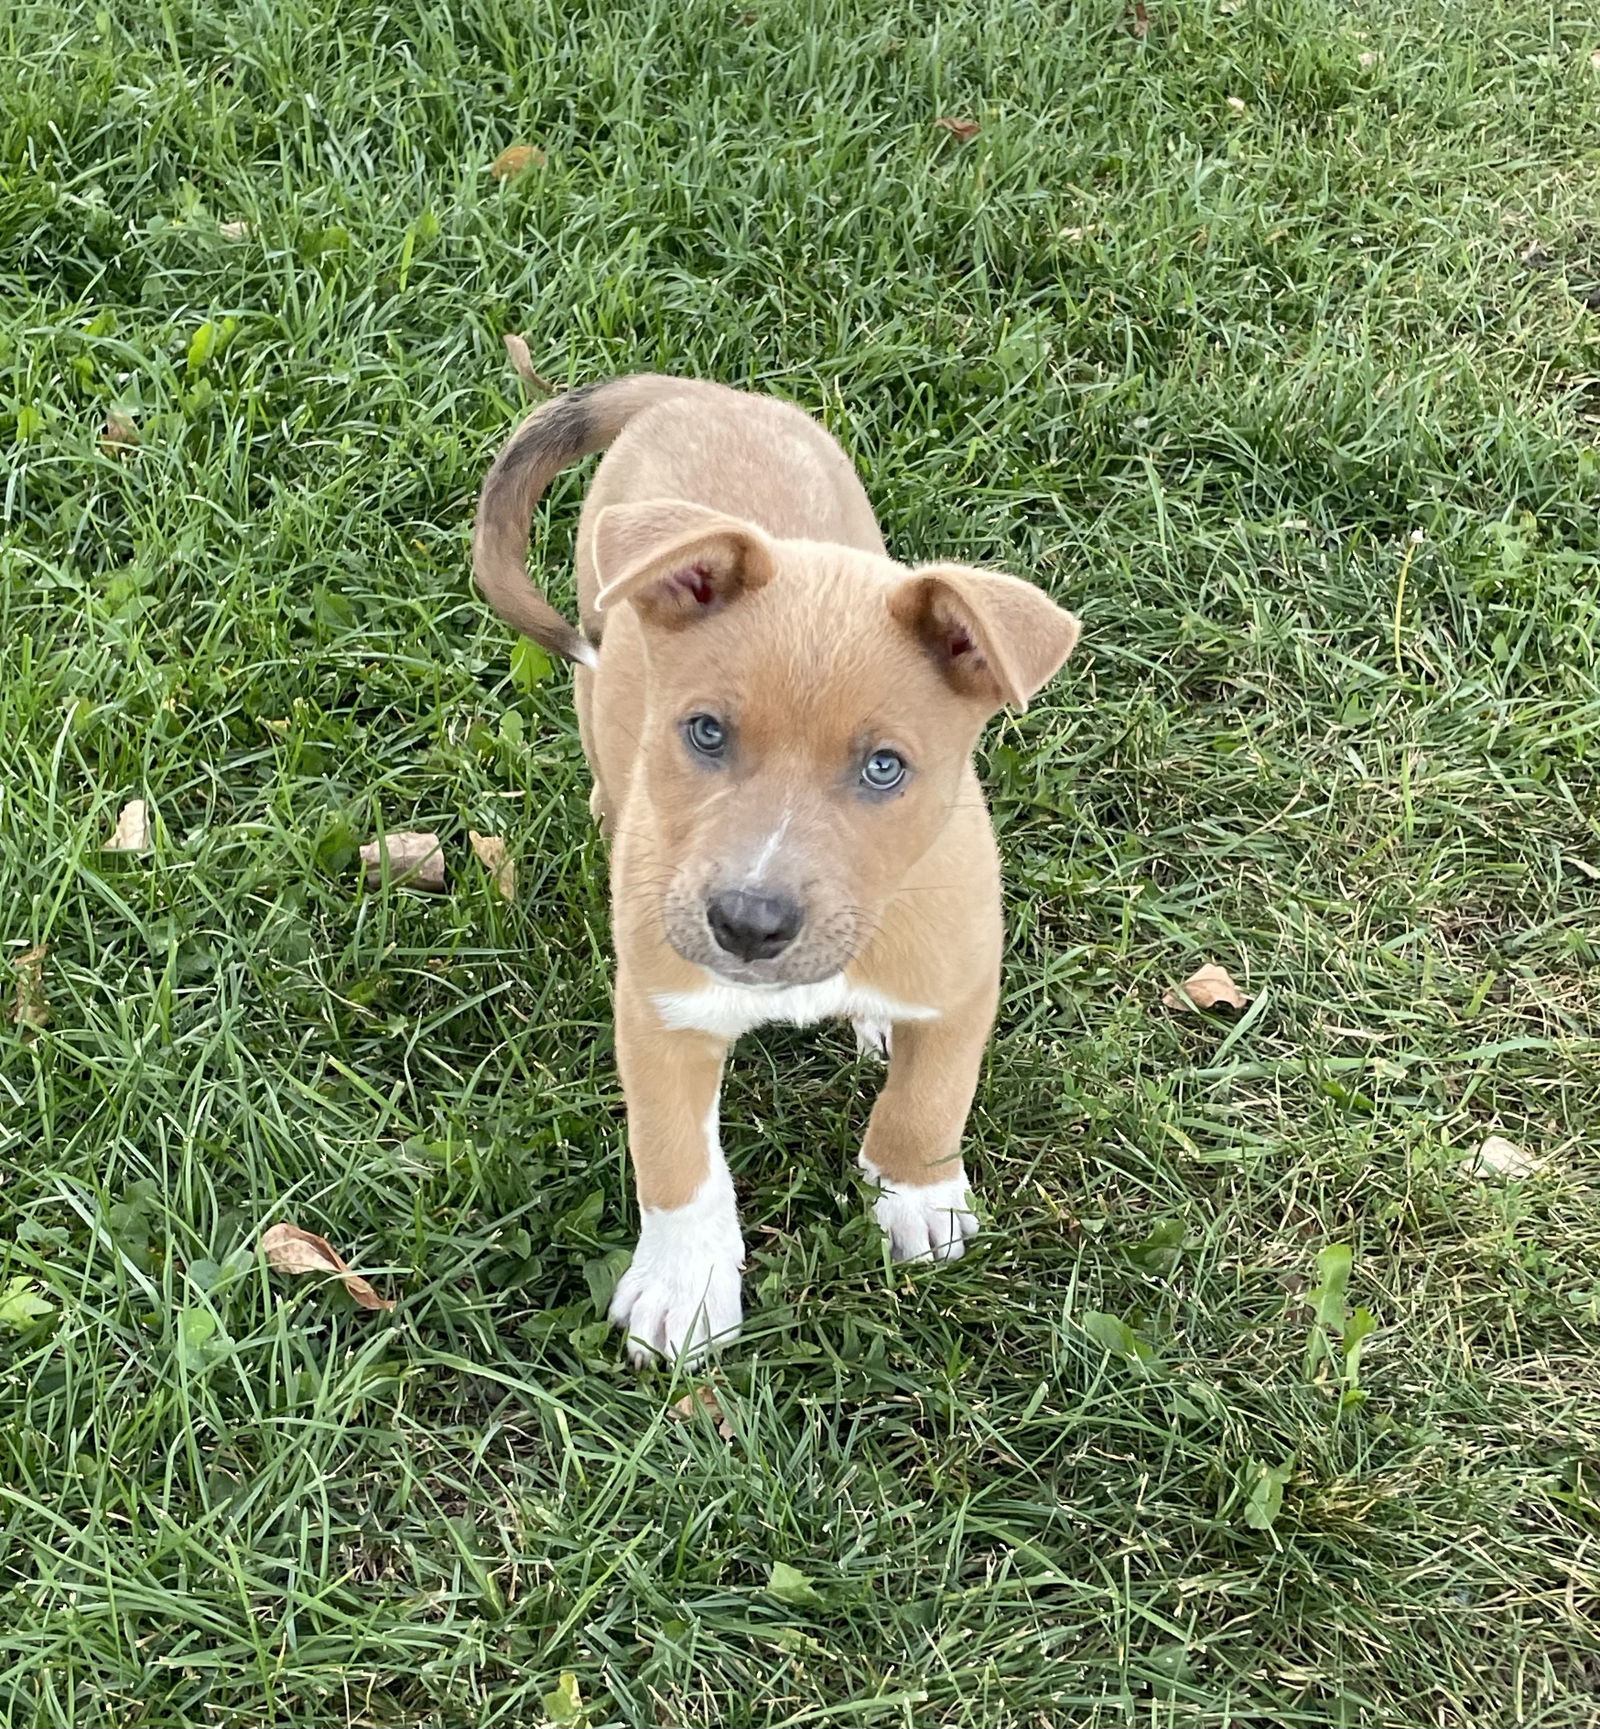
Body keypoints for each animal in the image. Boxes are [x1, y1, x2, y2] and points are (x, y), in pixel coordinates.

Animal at [467, 375, 1079, 1362]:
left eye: (885, 767)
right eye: (707, 732)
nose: (748, 924)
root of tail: (692, 390)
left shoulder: (961, 973)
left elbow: (929, 1100)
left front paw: (919, 1196)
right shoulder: (661, 1011)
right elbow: (676, 1161)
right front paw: (685, 1285)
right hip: (598, 646)